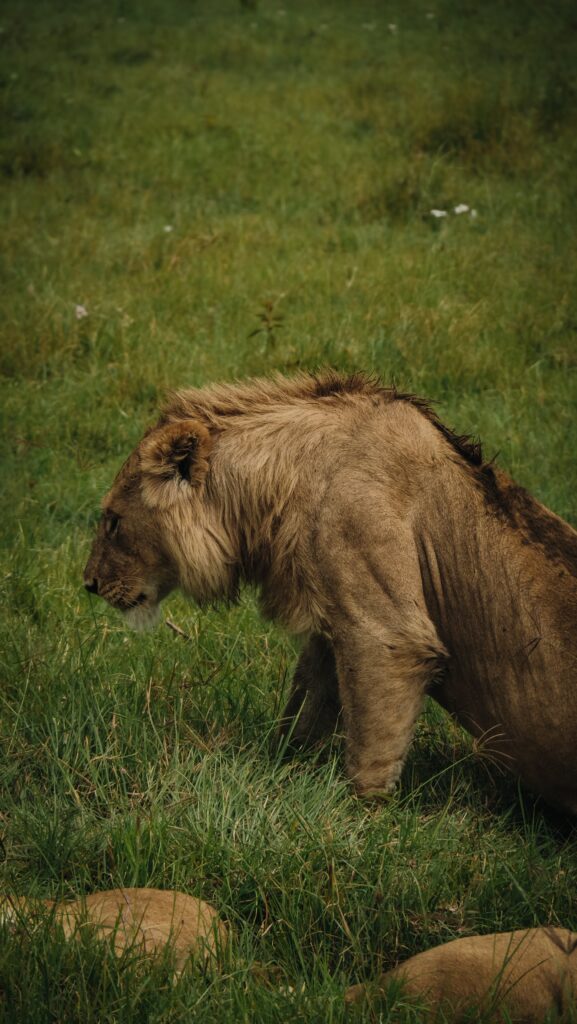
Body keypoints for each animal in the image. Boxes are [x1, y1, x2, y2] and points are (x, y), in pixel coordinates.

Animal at [82, 372, 577, 811]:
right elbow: (307, 704)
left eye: (113, 521)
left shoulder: (384, 629)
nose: (88, 584)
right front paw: (282, 767)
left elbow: (372, 735)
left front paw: (361, 818)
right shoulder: (330, 621)